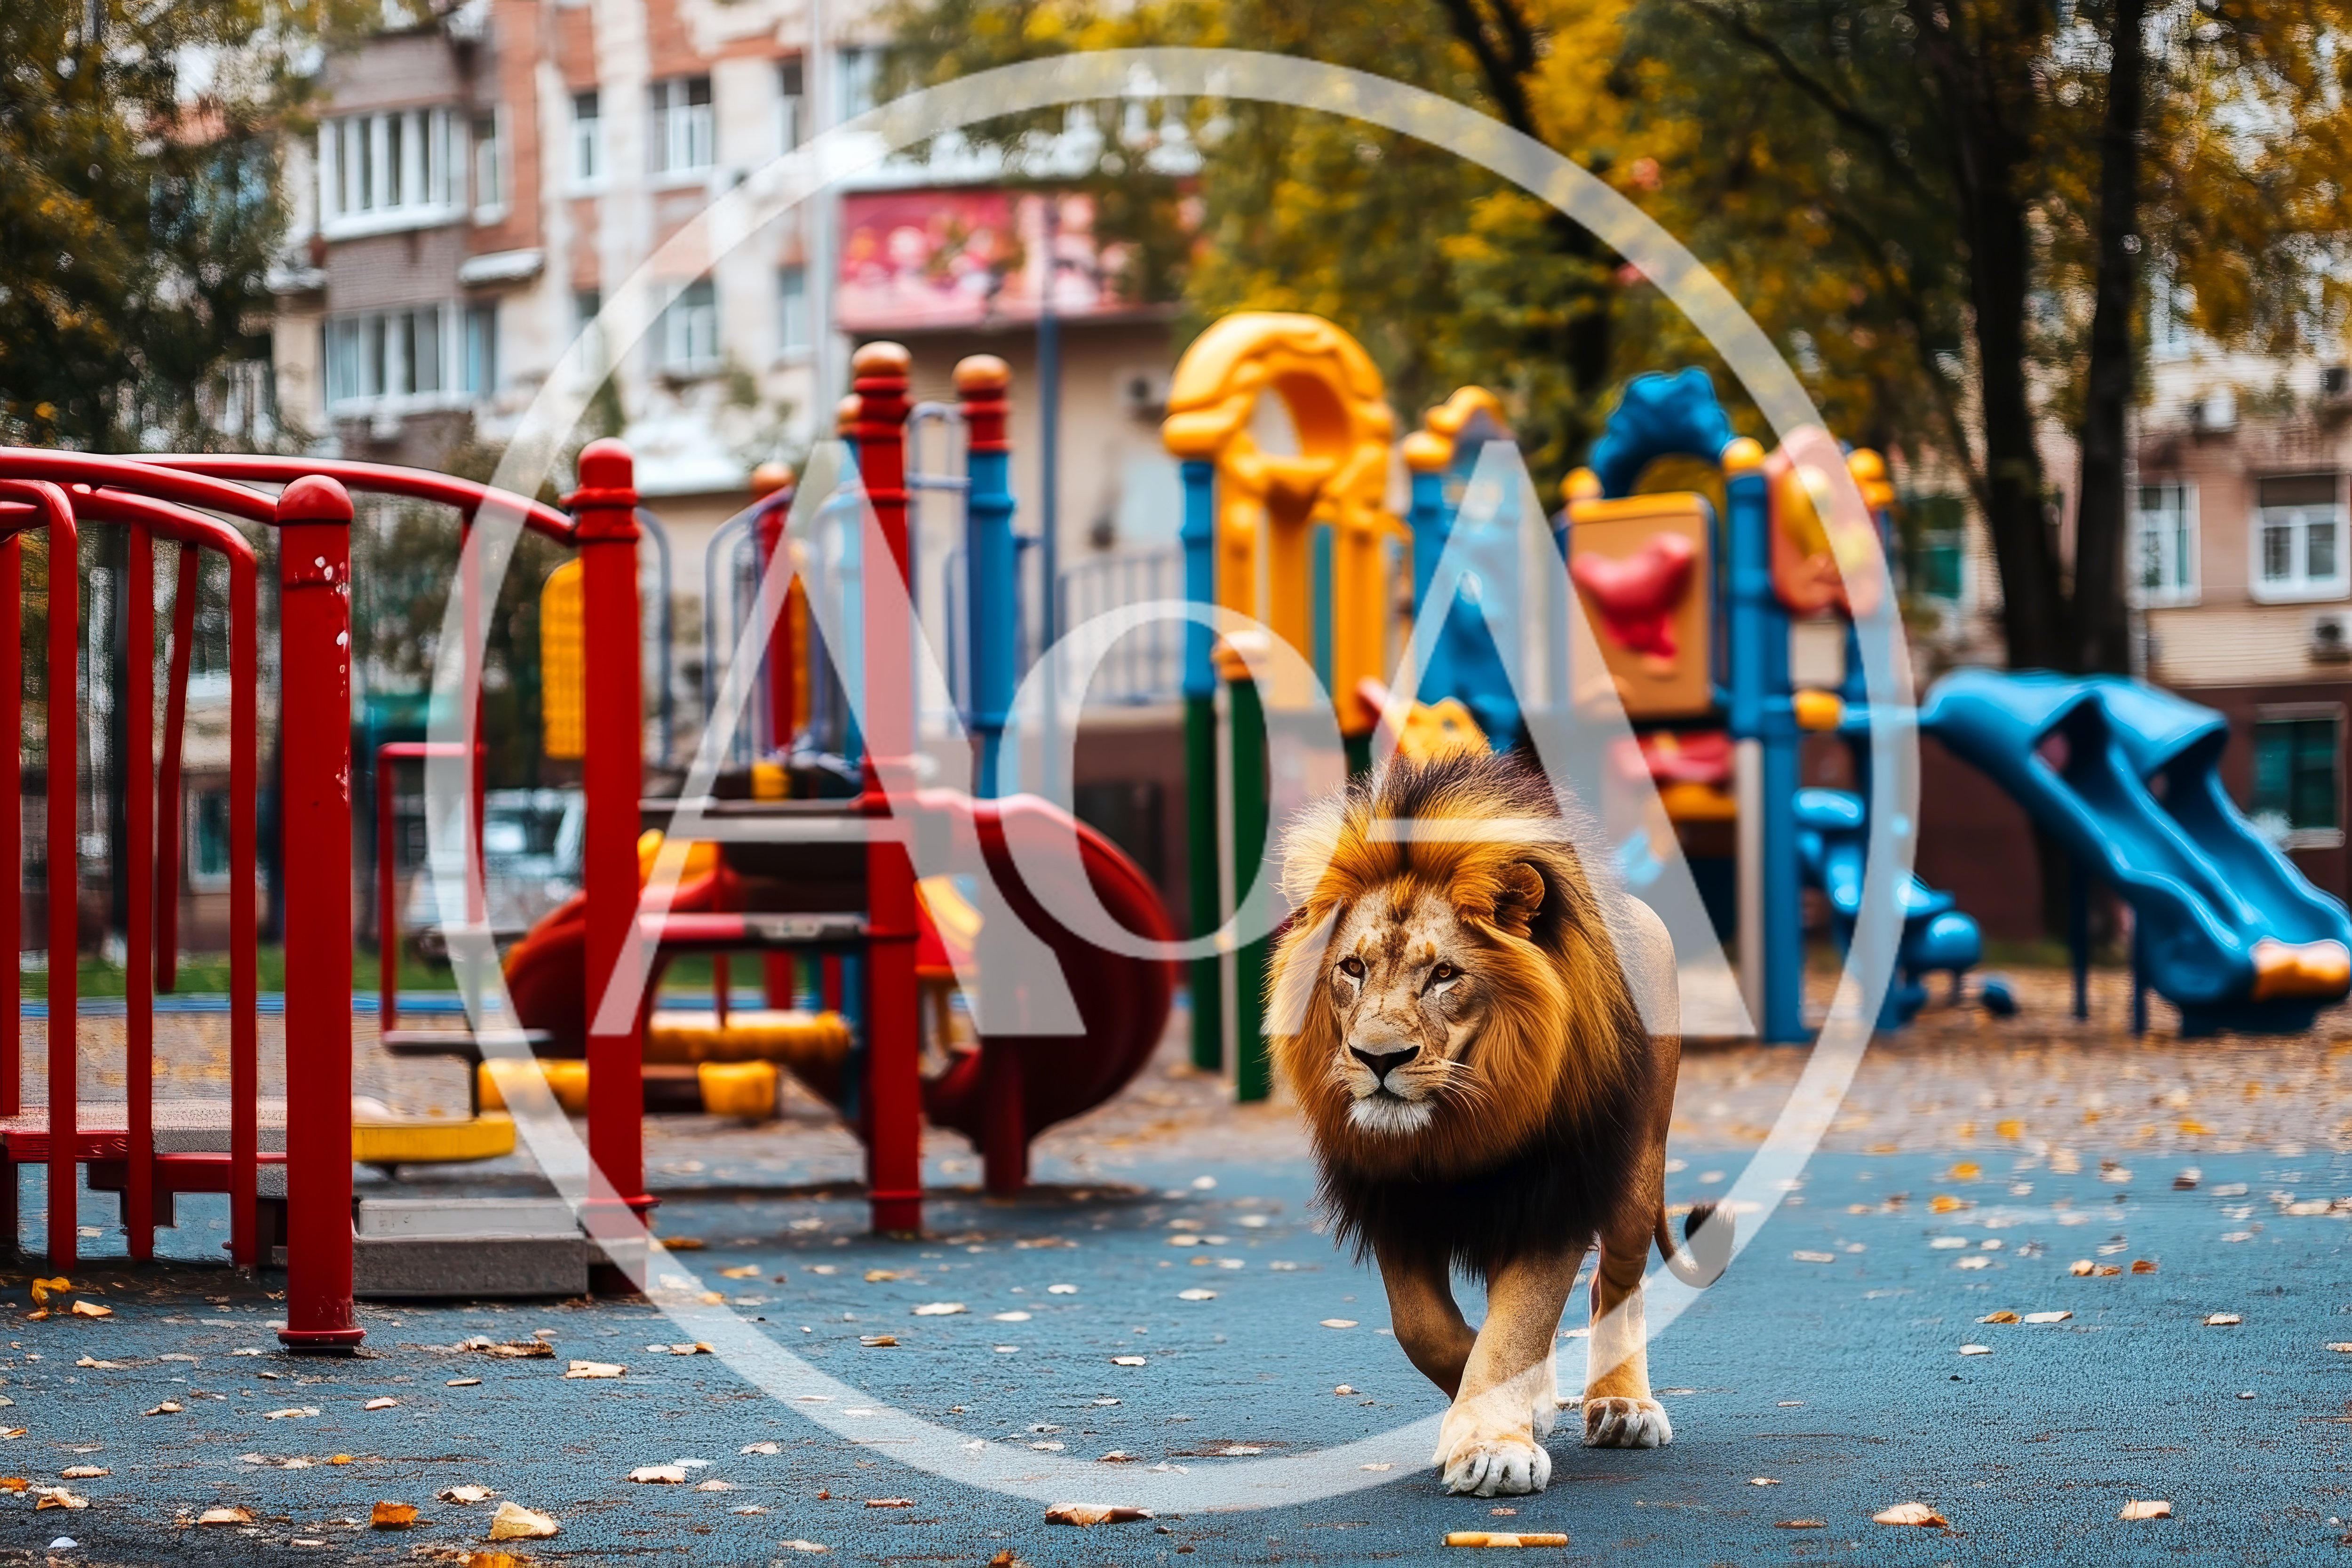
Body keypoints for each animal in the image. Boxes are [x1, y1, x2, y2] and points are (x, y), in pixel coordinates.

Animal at [1266, 750, 1728, 1497]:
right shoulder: (1393, 1199)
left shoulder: (1556, 1190)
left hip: (1636, 1169)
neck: (1459, 1124)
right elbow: (1426, 1328)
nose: (1379, 1059)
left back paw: (1622, 1406)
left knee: (1616, 1280)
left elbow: (1516, 1324)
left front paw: (1492, 1447)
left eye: (1444, 975)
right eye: (1352, 968)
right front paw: (1516, 1412)